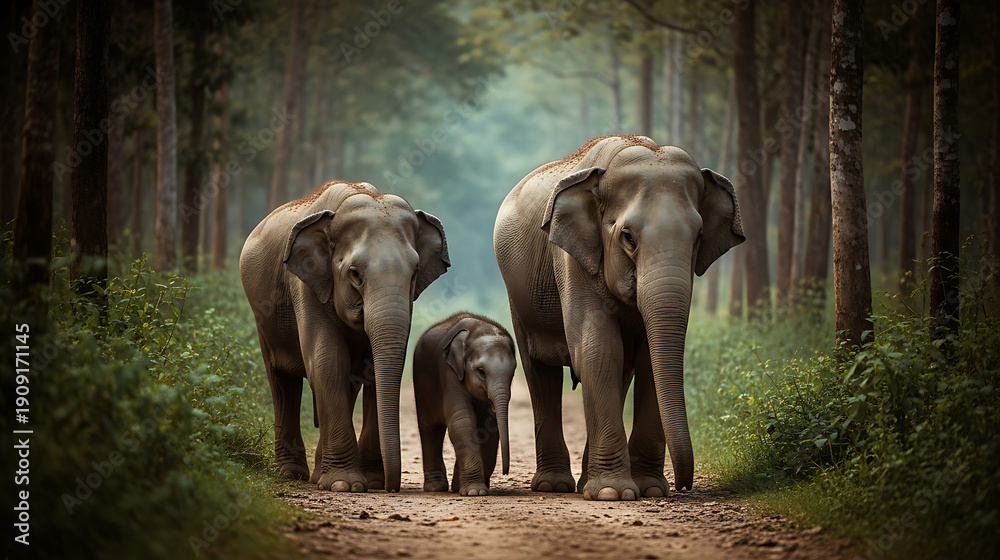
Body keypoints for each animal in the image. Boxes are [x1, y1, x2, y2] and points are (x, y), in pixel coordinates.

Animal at [240, 180, 449, 493]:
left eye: (414, 274)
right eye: (355, 274)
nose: (391, 487)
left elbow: (376, 366)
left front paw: (370, 481)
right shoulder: (305, 285)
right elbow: (327, 360)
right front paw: (345, 484)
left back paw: (317, 475)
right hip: (262, 316)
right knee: (282, 382)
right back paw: (292, 474)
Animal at [413, 313, 516, 496]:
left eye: (513, 372)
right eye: (481, 372)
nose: (505, 473)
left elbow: (489, 428)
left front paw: (466, 488)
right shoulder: (448, 373)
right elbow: (462, 422)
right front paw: (474, 492)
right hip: (421, 385)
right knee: (430, 430)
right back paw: (435, 488)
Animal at [493, 135, 743, 501]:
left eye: (698, 236)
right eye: (628, 236)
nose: (683, 485)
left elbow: (647, 358)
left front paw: (650, 489)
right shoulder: (572, 258)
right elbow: (598, 349)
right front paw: (614, 492)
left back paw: (584, 483)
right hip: (519, 299)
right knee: (540, 371)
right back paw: (555, 485)